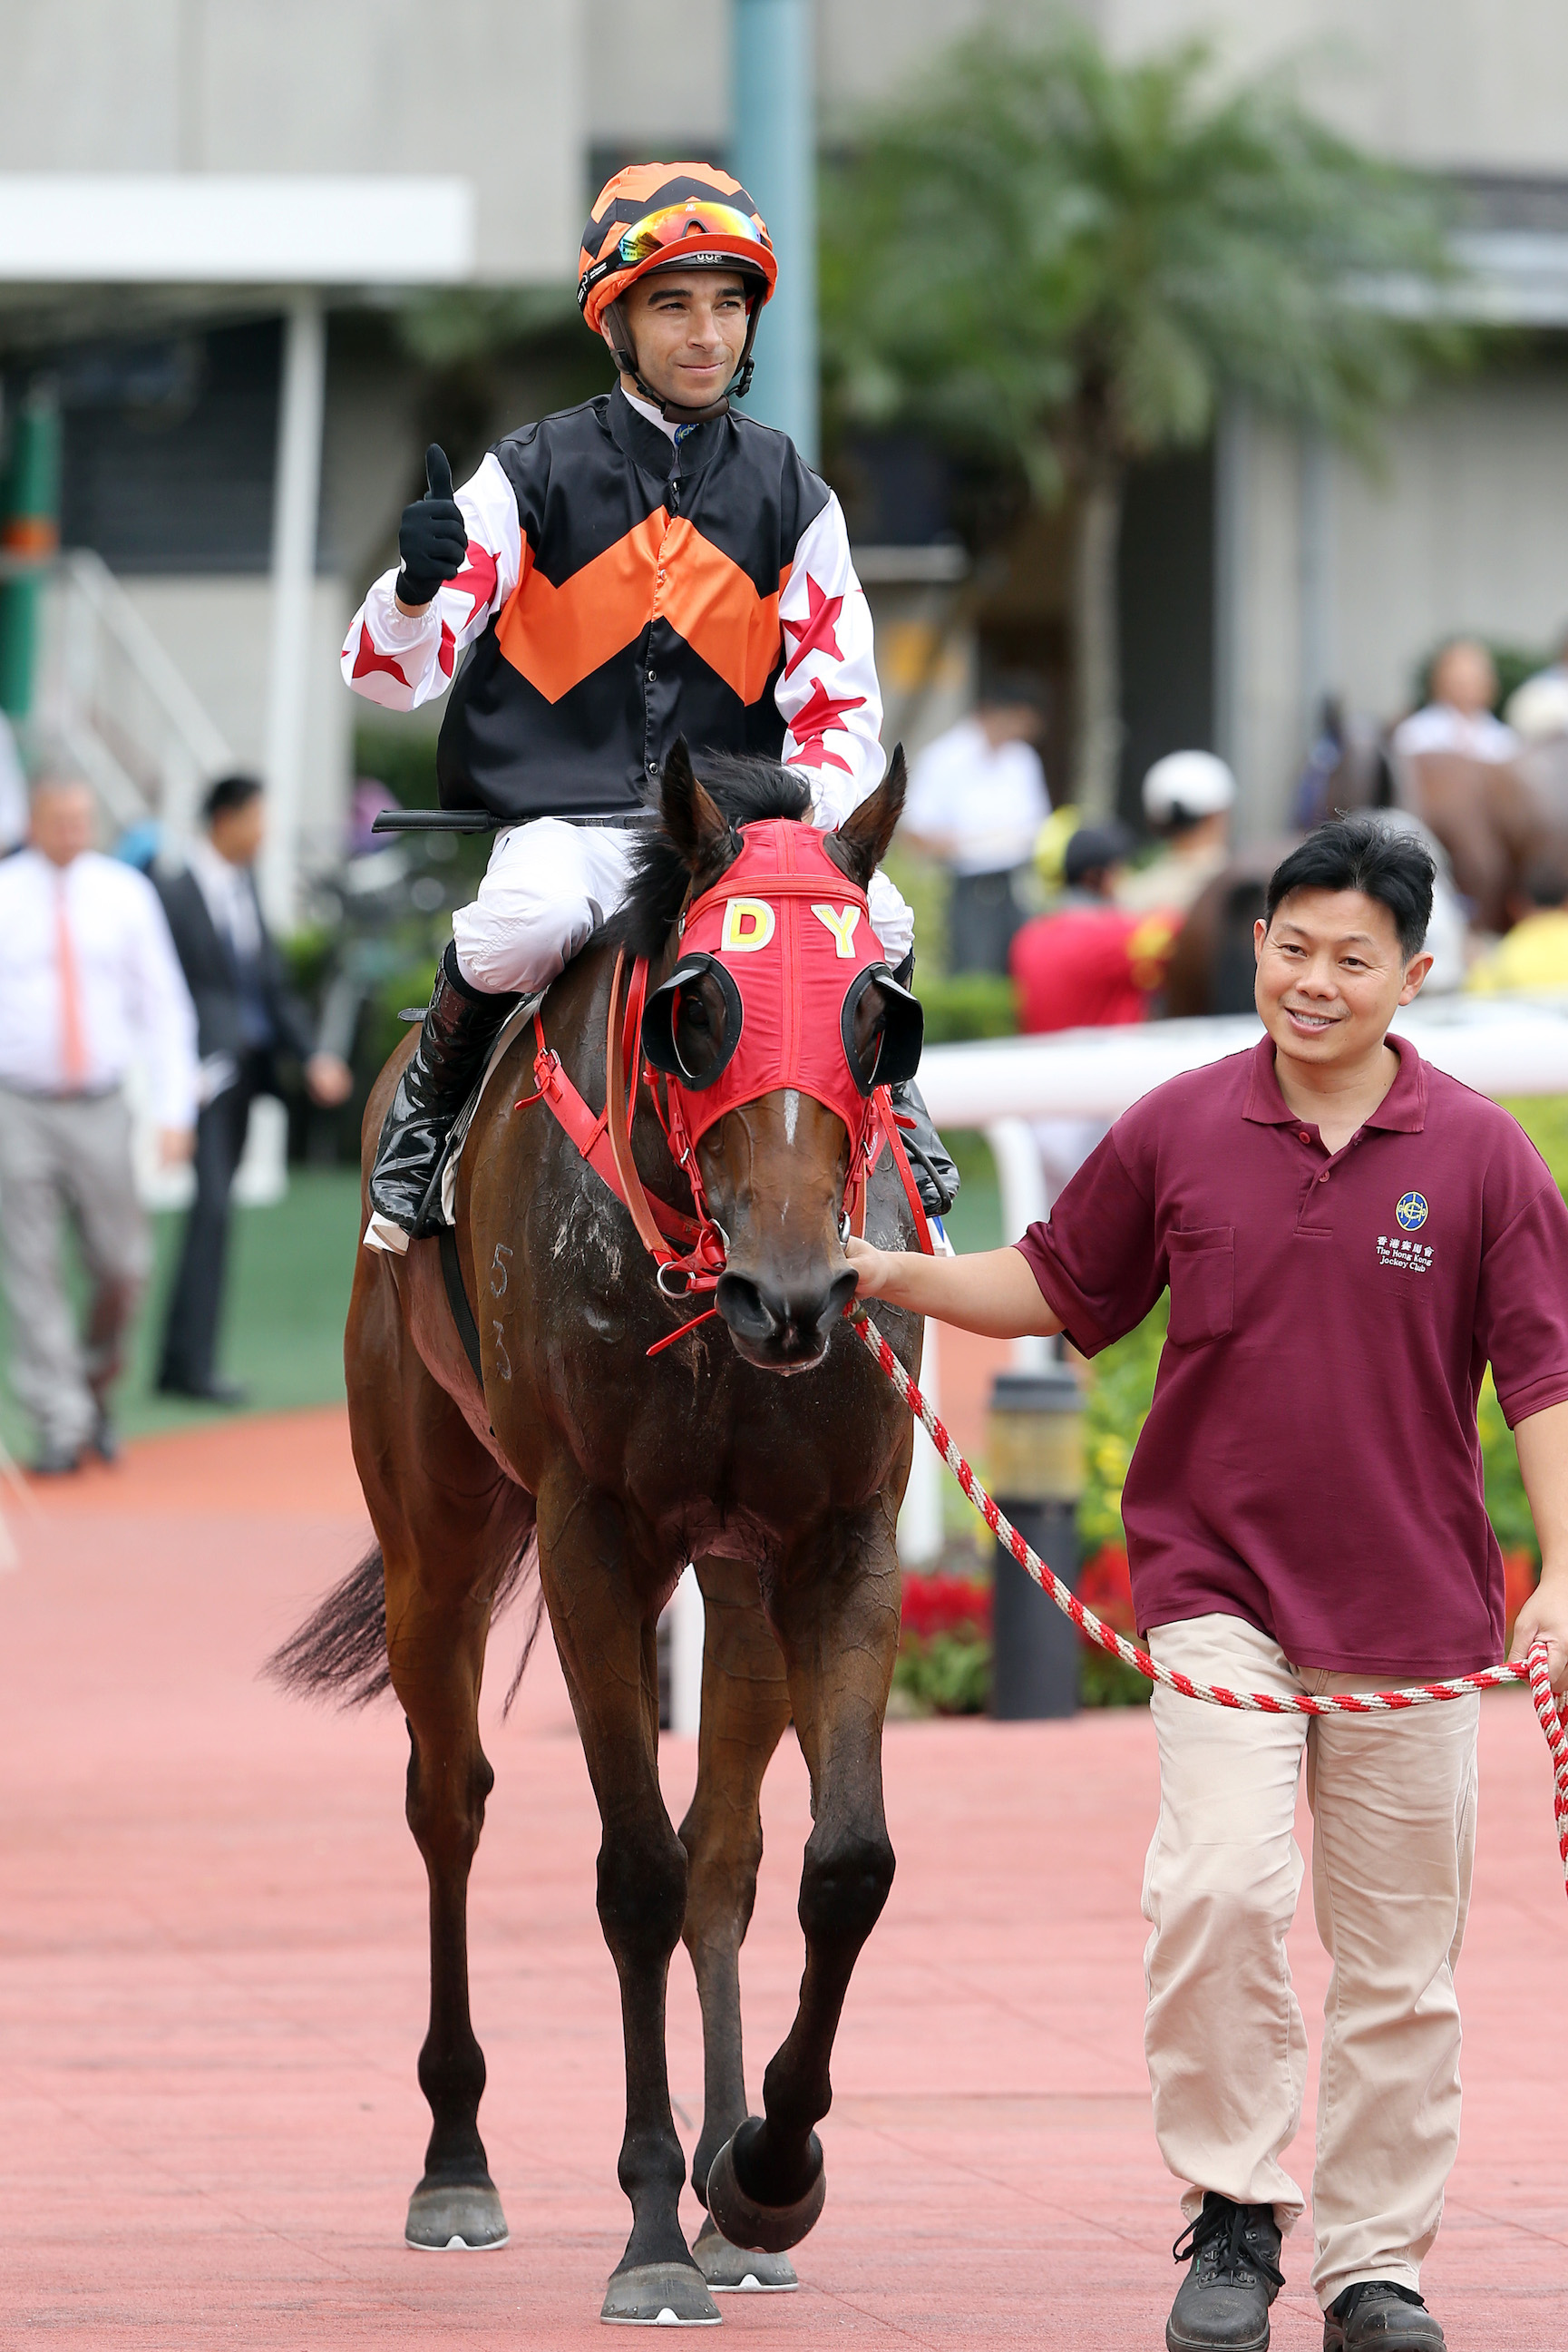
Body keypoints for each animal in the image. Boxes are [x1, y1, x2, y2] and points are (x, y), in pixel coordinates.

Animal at [276, 743, 926, 2323]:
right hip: (436, 1535)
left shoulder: (840, 1536)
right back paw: (457, 2159)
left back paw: (725, 2184)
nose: (795, 1296)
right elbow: (629, 1871)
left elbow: (840, 1864)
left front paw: (763, 2170)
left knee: (726, 1849)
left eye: (877, 1016)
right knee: (448, 1800)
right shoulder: (590, 1533)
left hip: (736, 1577)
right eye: (703, 1009)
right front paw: (647, 2234)